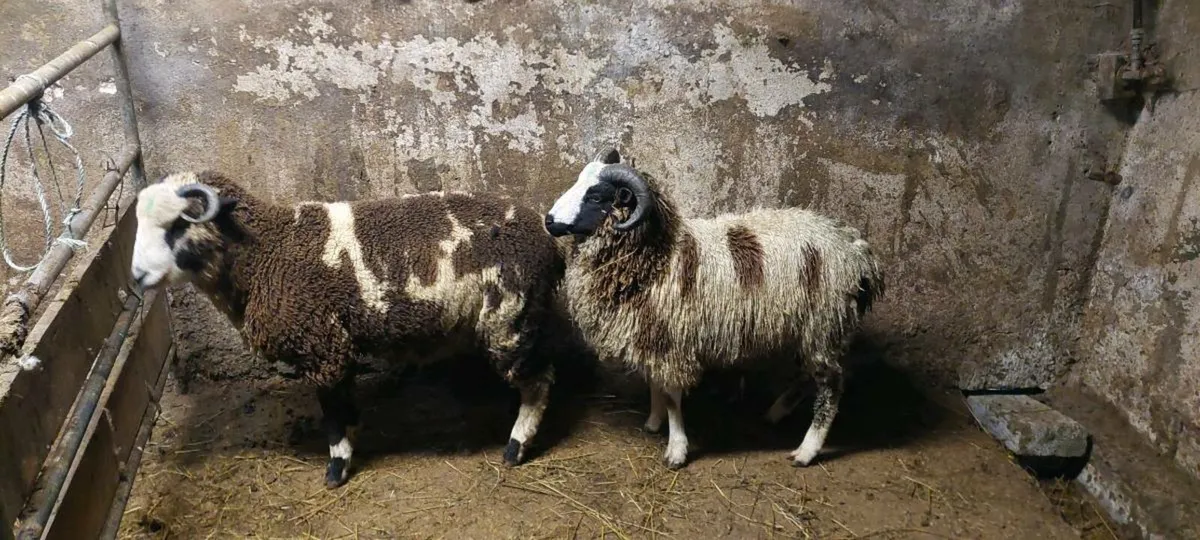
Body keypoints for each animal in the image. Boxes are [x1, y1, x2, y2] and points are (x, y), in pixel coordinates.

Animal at [130, 171, 564, 488]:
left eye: (178, 225)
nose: (137, 276)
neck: (267, 252)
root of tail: (546, 240)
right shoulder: (334, 343)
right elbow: (343, 402)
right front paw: (353, 434)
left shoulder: (321, 343)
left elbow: (332, 410)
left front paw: (337, 467)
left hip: (509, 317)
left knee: (540, 381)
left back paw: (516, 446)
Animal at [543, 149, 885, 469]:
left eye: (595, 196)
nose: (548, 221)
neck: (658, 255)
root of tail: (858, 252)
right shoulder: (653, 333)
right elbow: (655, 383)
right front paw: (654, 422)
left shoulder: (674, 339)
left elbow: (672, 395)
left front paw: (676, 449)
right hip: (809, 328)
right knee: (806, 375)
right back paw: (775, 414)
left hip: (826, 323)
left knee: (831, 386)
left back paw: (806, 452)